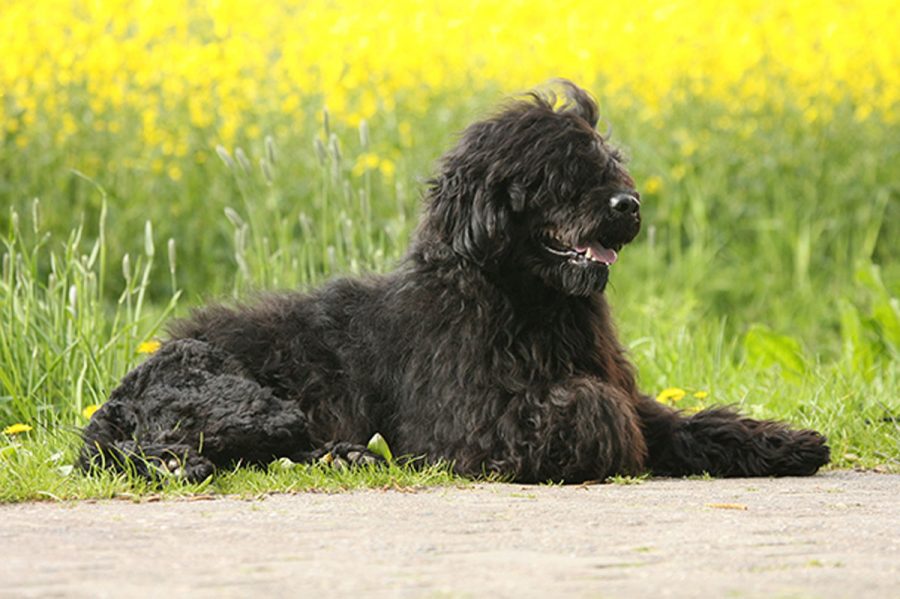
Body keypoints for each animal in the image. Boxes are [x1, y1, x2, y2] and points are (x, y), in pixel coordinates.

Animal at [81, 81, 832, 482]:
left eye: (607, 161)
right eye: (558, 171)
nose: (628, 205)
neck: (525, 302)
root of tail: (115, 407)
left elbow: (690, 420)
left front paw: (781, 441)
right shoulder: (464, 422)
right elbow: (590, 407)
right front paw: (612, 440)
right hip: (258, 404)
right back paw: (346, 455)